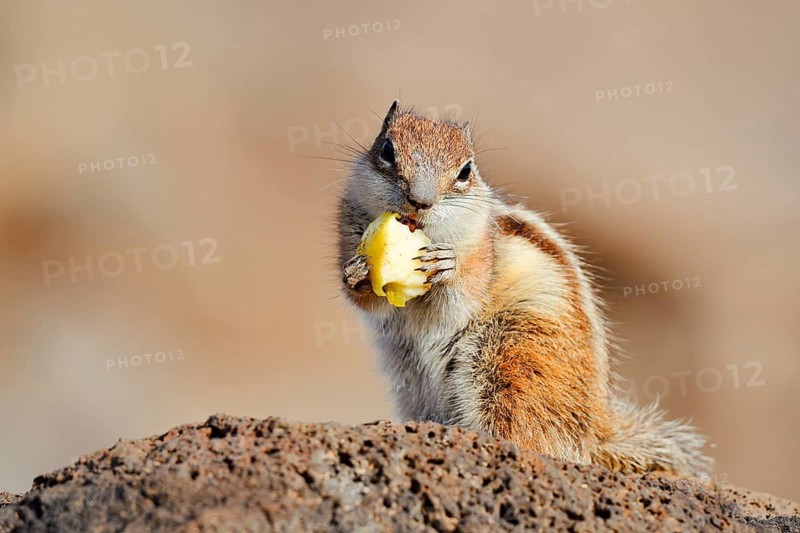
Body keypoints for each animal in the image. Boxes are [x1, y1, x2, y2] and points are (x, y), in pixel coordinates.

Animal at [338, 100, 712, 478]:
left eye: (466, 170)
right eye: (387, 150)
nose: (420, 201)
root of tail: (596, 434)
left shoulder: (482, 256)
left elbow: (459, 298)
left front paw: (448, 265)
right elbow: (369, 300)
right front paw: (358, 272)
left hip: (511, 359)